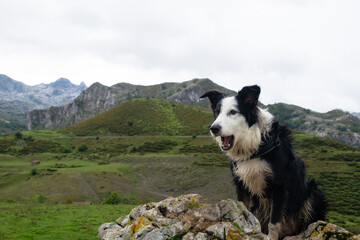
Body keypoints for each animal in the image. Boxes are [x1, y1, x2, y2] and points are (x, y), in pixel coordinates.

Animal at [200, 85, 326, 239]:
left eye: (233, 112)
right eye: (217, 112)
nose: (214, 129)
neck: (254, 145)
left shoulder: (279, 185)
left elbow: (274, 221)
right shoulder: (241, 183)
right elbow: (242, 209)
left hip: (314, 193)